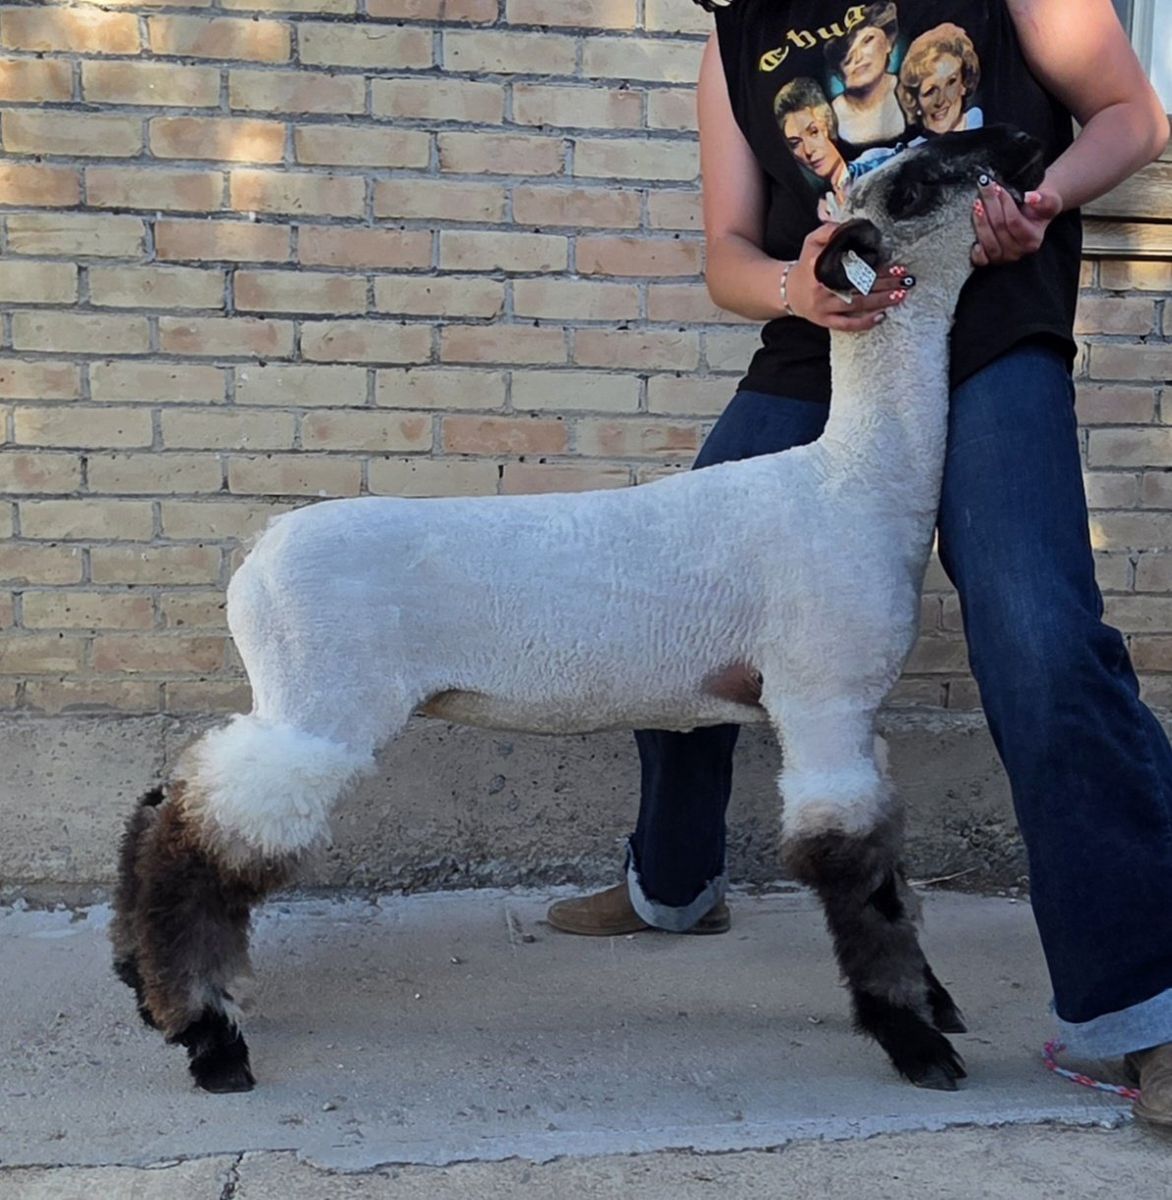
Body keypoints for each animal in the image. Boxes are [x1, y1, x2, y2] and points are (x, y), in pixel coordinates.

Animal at [112, 125, 1046, 1096]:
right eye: (916, 183)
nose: (1023, 140)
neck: (856, 481)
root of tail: (254, 562)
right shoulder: (823, 696)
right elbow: (856, 867)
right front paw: (916, 1040)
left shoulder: (856, 711)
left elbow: (888, 861)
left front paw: (935, 1004)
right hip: (321, 698)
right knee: (202, 843)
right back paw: (208, 1039)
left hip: (292, 699)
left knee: (172, 802)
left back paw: (142, 983)